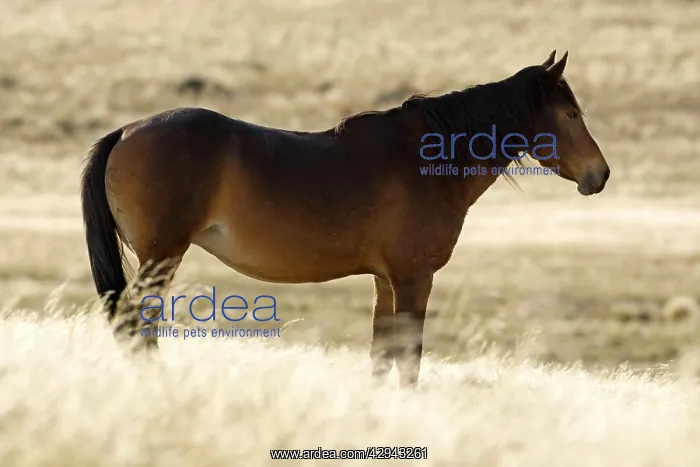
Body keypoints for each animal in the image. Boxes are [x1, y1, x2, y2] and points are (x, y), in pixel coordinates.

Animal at [80, 50, 610, 387]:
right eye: (570, 113)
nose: (599, 174)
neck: (424, 160)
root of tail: (127, 131)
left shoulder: (385, 280)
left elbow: (381, 355)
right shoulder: (413, 278)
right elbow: (409, 360)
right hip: (161, 258)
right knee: (135, 324)